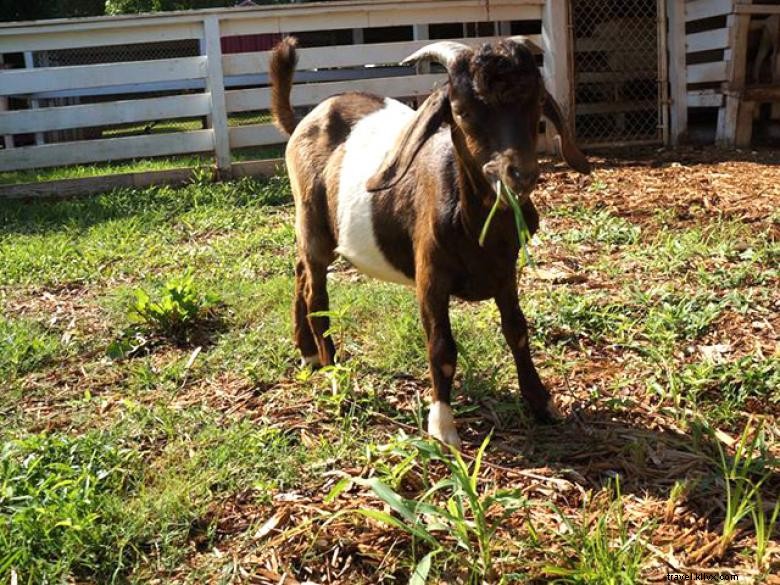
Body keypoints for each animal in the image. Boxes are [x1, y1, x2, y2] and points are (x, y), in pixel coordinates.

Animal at [270, 37, 592, 448]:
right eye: (461, 111)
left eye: (537, 104)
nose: (519, 174)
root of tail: (305, 120)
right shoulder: (430, 276)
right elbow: (442, 346)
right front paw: (443, 426)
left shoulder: (505, 273)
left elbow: (517, 331)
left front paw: (542, 403)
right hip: (311, 217)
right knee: (315, 293)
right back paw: (334, 376)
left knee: (300, 272)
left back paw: (309, 356)